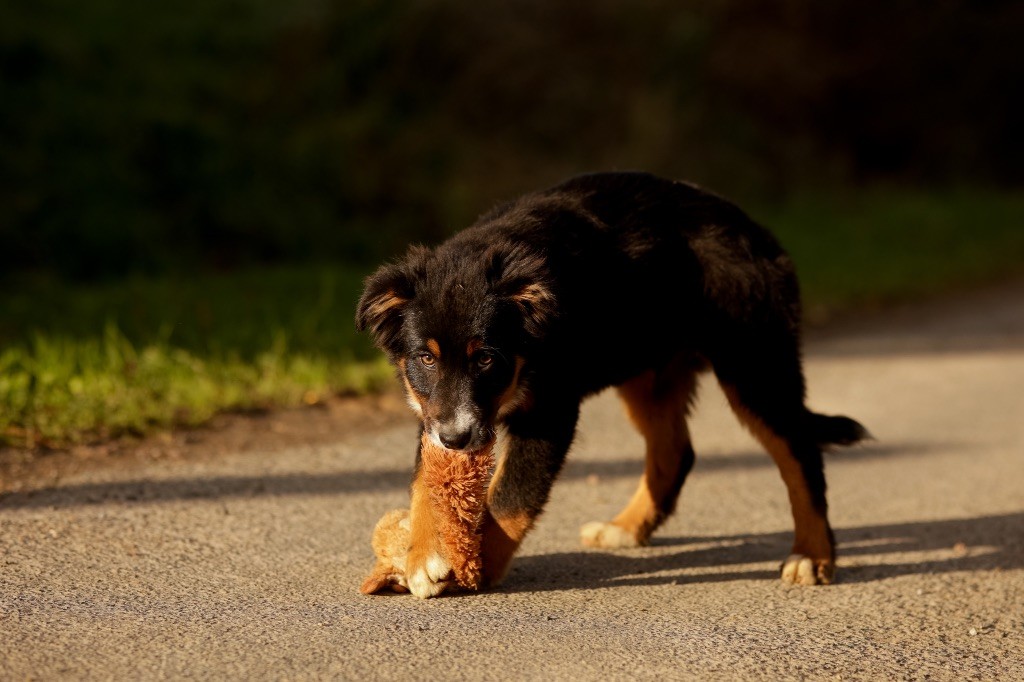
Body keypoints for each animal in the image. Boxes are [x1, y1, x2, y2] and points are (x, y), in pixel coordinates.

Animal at [356, 171, 868, 593]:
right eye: (425, 358)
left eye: (485, 359)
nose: (458, 438)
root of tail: (755, 232)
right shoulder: (431, 409)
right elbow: (427, 478)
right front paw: (423, 556)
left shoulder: (551, 409)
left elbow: (509, 498)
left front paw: (475, 567)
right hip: (650, 373)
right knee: (675, 452)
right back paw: (625, 527)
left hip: (754, 361)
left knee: (800, 450)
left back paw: (812, 556)